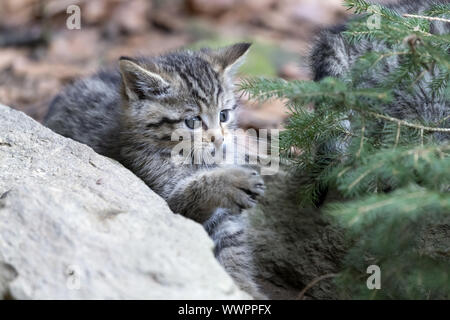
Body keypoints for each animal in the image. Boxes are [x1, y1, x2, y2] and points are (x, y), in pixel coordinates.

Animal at [44, 43, 266, 300]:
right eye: (192, 121)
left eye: (224, 115)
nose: (219, 139)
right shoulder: (160, 192)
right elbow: (187, 197)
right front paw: (229, 182)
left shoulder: (226, 218)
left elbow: (233, 245)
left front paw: (244, 287)